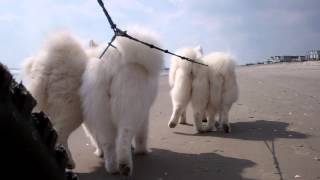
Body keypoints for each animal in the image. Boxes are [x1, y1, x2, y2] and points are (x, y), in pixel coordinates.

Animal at [81, 28, 164, 176]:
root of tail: (109, 64)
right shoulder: (145, 113)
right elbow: (142, 135)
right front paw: (142, 151)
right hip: (130, 108)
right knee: (123, 139)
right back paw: (125, 165)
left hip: (100, 112)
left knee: (108, 143)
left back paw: (112, 167)